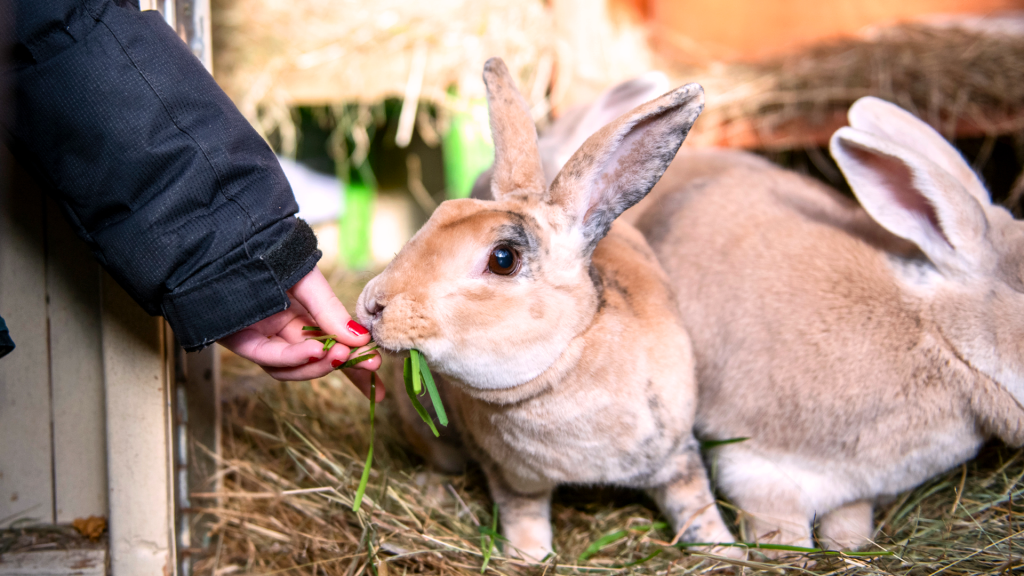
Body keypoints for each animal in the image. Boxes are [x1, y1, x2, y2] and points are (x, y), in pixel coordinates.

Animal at [356, 58, 737, 561]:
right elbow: (525, 519)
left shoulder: (676, 455)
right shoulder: (512, 478)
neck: (565, 364)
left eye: (503, 259)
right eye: (440, 212)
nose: (372, 304)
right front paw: (527, 557)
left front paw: (728, 551)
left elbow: (696, 506)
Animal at [623, 96, 1024, 552]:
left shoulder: (856, 490)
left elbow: (850, 531)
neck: (936, 336)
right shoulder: (756, 467)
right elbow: (786, 535)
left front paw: (848, 548)